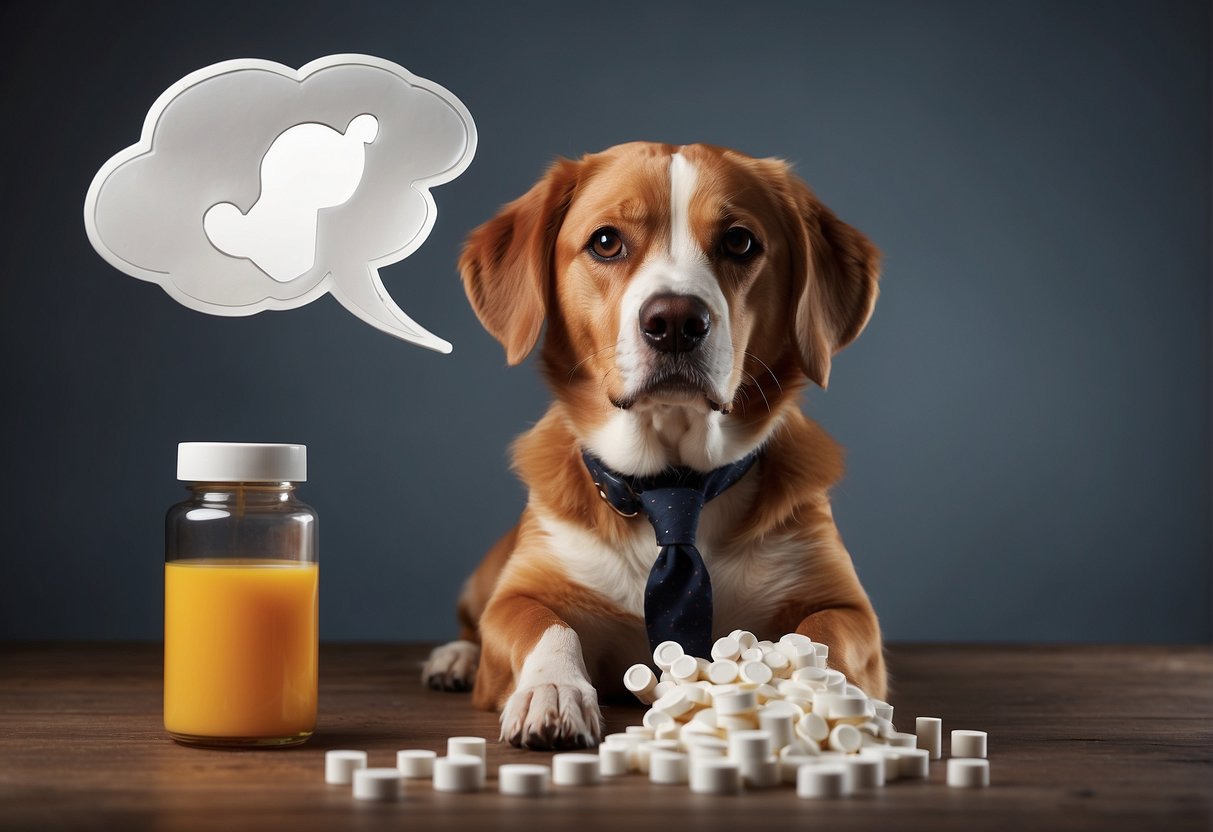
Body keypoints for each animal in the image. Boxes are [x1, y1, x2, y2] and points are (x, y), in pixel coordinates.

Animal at [422, 141, 887, 751]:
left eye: (740, 241)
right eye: (605, 241)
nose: (675, 321)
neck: (673, 490)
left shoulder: (847, 606)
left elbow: (822, 636)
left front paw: (822, 694)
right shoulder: (521, 592)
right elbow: (546, 626)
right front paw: (553, 690)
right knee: (469, 622)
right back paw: (453, 658)